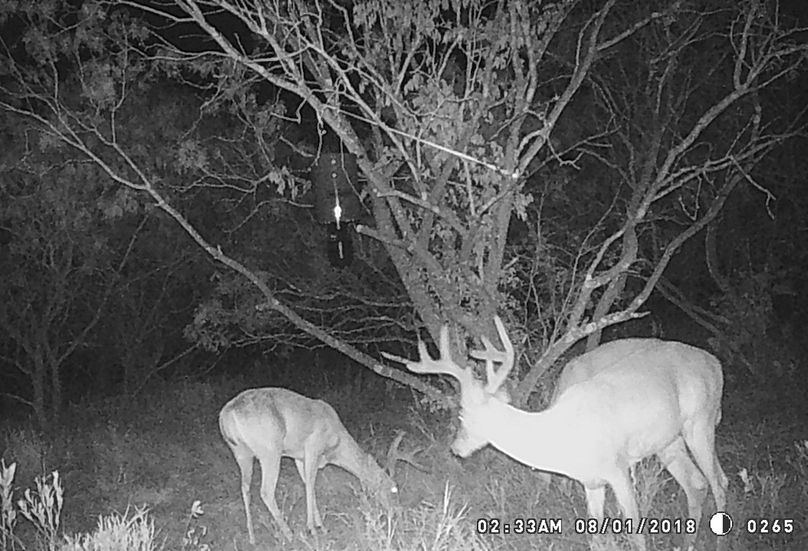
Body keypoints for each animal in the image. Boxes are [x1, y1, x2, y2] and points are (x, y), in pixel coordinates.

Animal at [218, 387, 399, 544]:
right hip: (270, 450)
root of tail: (227, 415)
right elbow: (311, 485)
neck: (336, 444)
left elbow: (307, 483)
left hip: (241, 453)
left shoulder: (299, 457)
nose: (394, 512)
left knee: (245, 488)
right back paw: (289, 534)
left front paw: (321, 526)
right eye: (391, 488)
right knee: (266, 491)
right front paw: (313, 529)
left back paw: (252, 537)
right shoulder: (313, 447)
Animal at [383, 317, 728, 551]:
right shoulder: (591, 481)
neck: (562, 437)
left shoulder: (618, 468)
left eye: (462, 415)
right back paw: (688, 544)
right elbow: (597, 537)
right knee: (697, 484)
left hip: (701, 421)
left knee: (719, 481)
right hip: (668, 441)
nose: (456, 447)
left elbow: (635, 532)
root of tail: (716, 363)